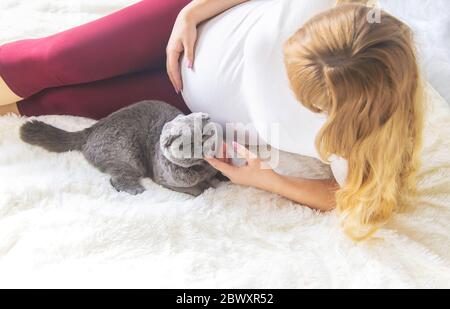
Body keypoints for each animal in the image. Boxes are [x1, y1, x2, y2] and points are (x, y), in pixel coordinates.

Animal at [19, 101, 227, 197]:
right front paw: (205, 187)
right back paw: (135, 189)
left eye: (205, 135)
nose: (202, 147)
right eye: (188, 143)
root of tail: (90, 129)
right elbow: (195, 189)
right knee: (117, 178)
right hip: (126, 156)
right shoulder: (164, 179)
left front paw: (220, 177)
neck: (199, 168)